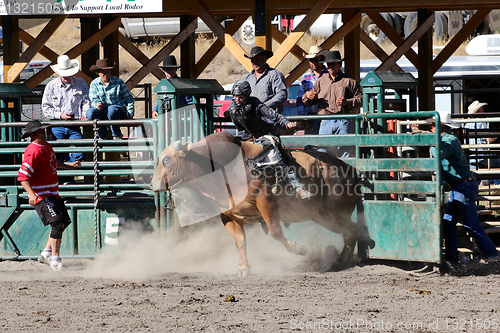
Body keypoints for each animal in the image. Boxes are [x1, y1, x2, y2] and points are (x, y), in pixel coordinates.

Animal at [150, 132, 362, 274]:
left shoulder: (266, 202)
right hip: (322, 216)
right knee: (351, 230)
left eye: (166, 159)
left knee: (351, 230)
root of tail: (350, 169)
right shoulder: (228, 214)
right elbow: (240, 240)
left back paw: (340, 260)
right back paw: (341, 259)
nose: (152, 184)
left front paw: (298, 248)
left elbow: (275, 232)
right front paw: (244, 268)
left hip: (337, 210)